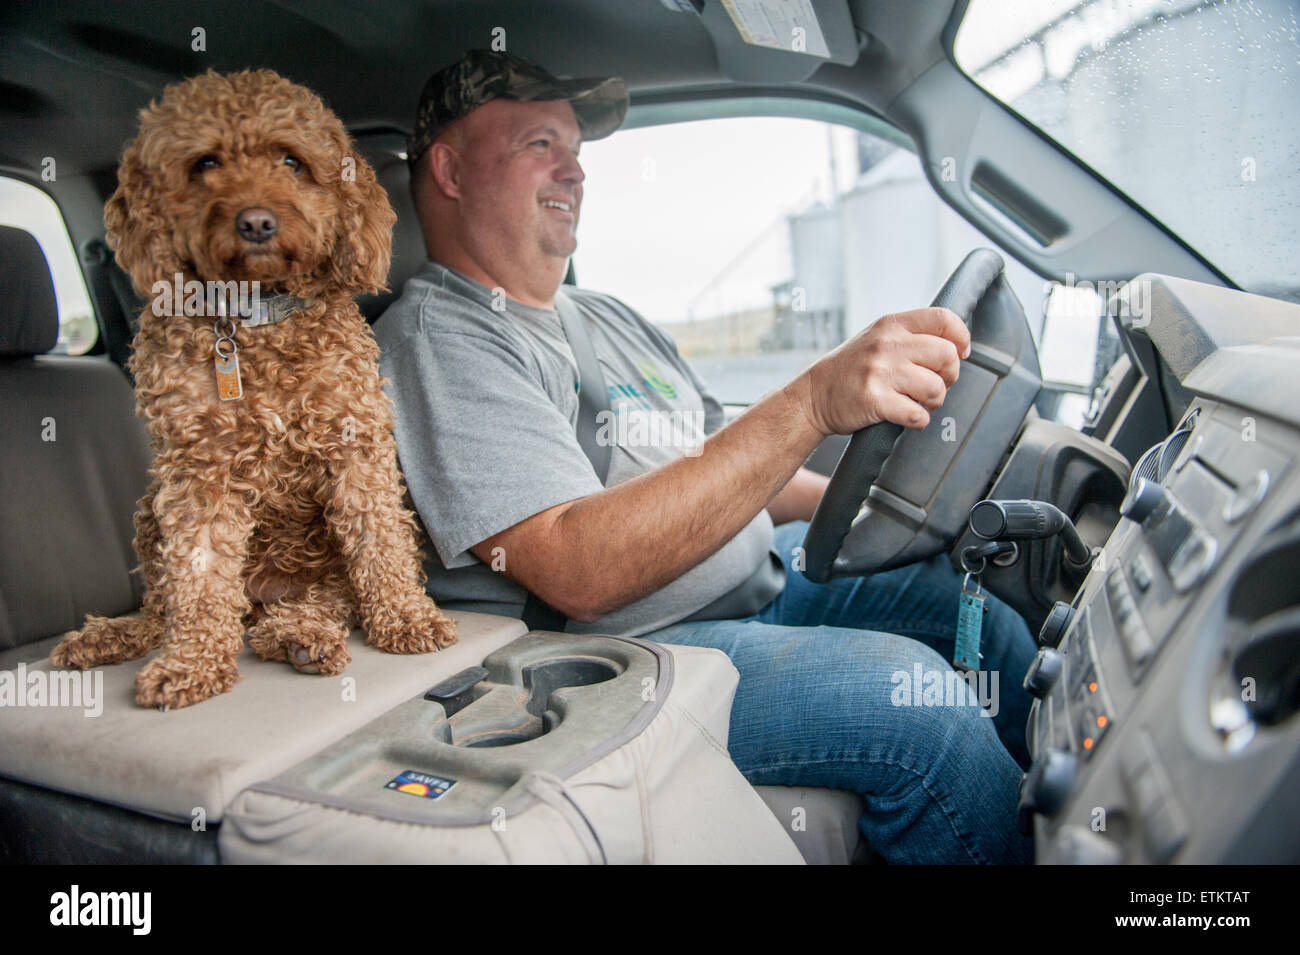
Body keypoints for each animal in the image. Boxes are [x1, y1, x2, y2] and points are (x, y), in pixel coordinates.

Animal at [50, 69, 457, 712]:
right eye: (205, 163)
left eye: (292, 161)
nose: (258, 221)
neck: (255, 317)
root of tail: (259, 602)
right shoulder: (196, 469)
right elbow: (197, 575)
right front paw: (192, 663)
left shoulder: (356, 445)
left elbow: (379, 541)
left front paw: (407, 619)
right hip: (149, 510)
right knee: (164, 607)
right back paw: (118, 635)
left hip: (318, 567)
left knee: (320, 603)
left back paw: (300, 636)